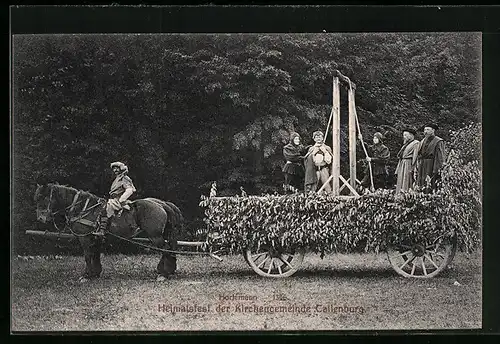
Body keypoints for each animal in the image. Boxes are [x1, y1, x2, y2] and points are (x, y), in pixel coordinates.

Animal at [34, 183, 184, 282]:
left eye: (44, 198)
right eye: (37, 199)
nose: (41, 219)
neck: (84, 208)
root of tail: (162, 204)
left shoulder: (85, 239)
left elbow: (88, 256)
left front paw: (86, 275)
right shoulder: (95, 238)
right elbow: (95, 255)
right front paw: (95, 273)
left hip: (155, 236)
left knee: (165, 249)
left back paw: (163, 274)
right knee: (169, 249)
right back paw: (166, 271)